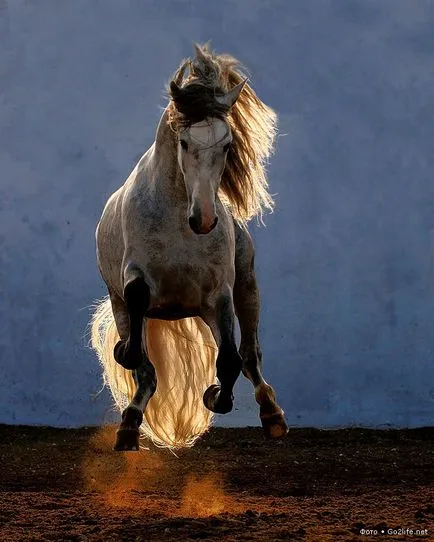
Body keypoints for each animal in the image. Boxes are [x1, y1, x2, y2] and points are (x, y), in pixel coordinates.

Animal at [91, 42, 288, 452]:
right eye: (184, 142)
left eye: (227, 144)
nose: (205, 219)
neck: (177, 219)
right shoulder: (134, 277)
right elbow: (137, 311)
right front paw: (123, 352)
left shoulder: (220, 295)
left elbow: (229, 361)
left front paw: (214, 396)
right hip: (122, 305)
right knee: (147, 374)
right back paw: (129, 425)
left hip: (244, 290)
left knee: (249, 355)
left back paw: (272, 415)